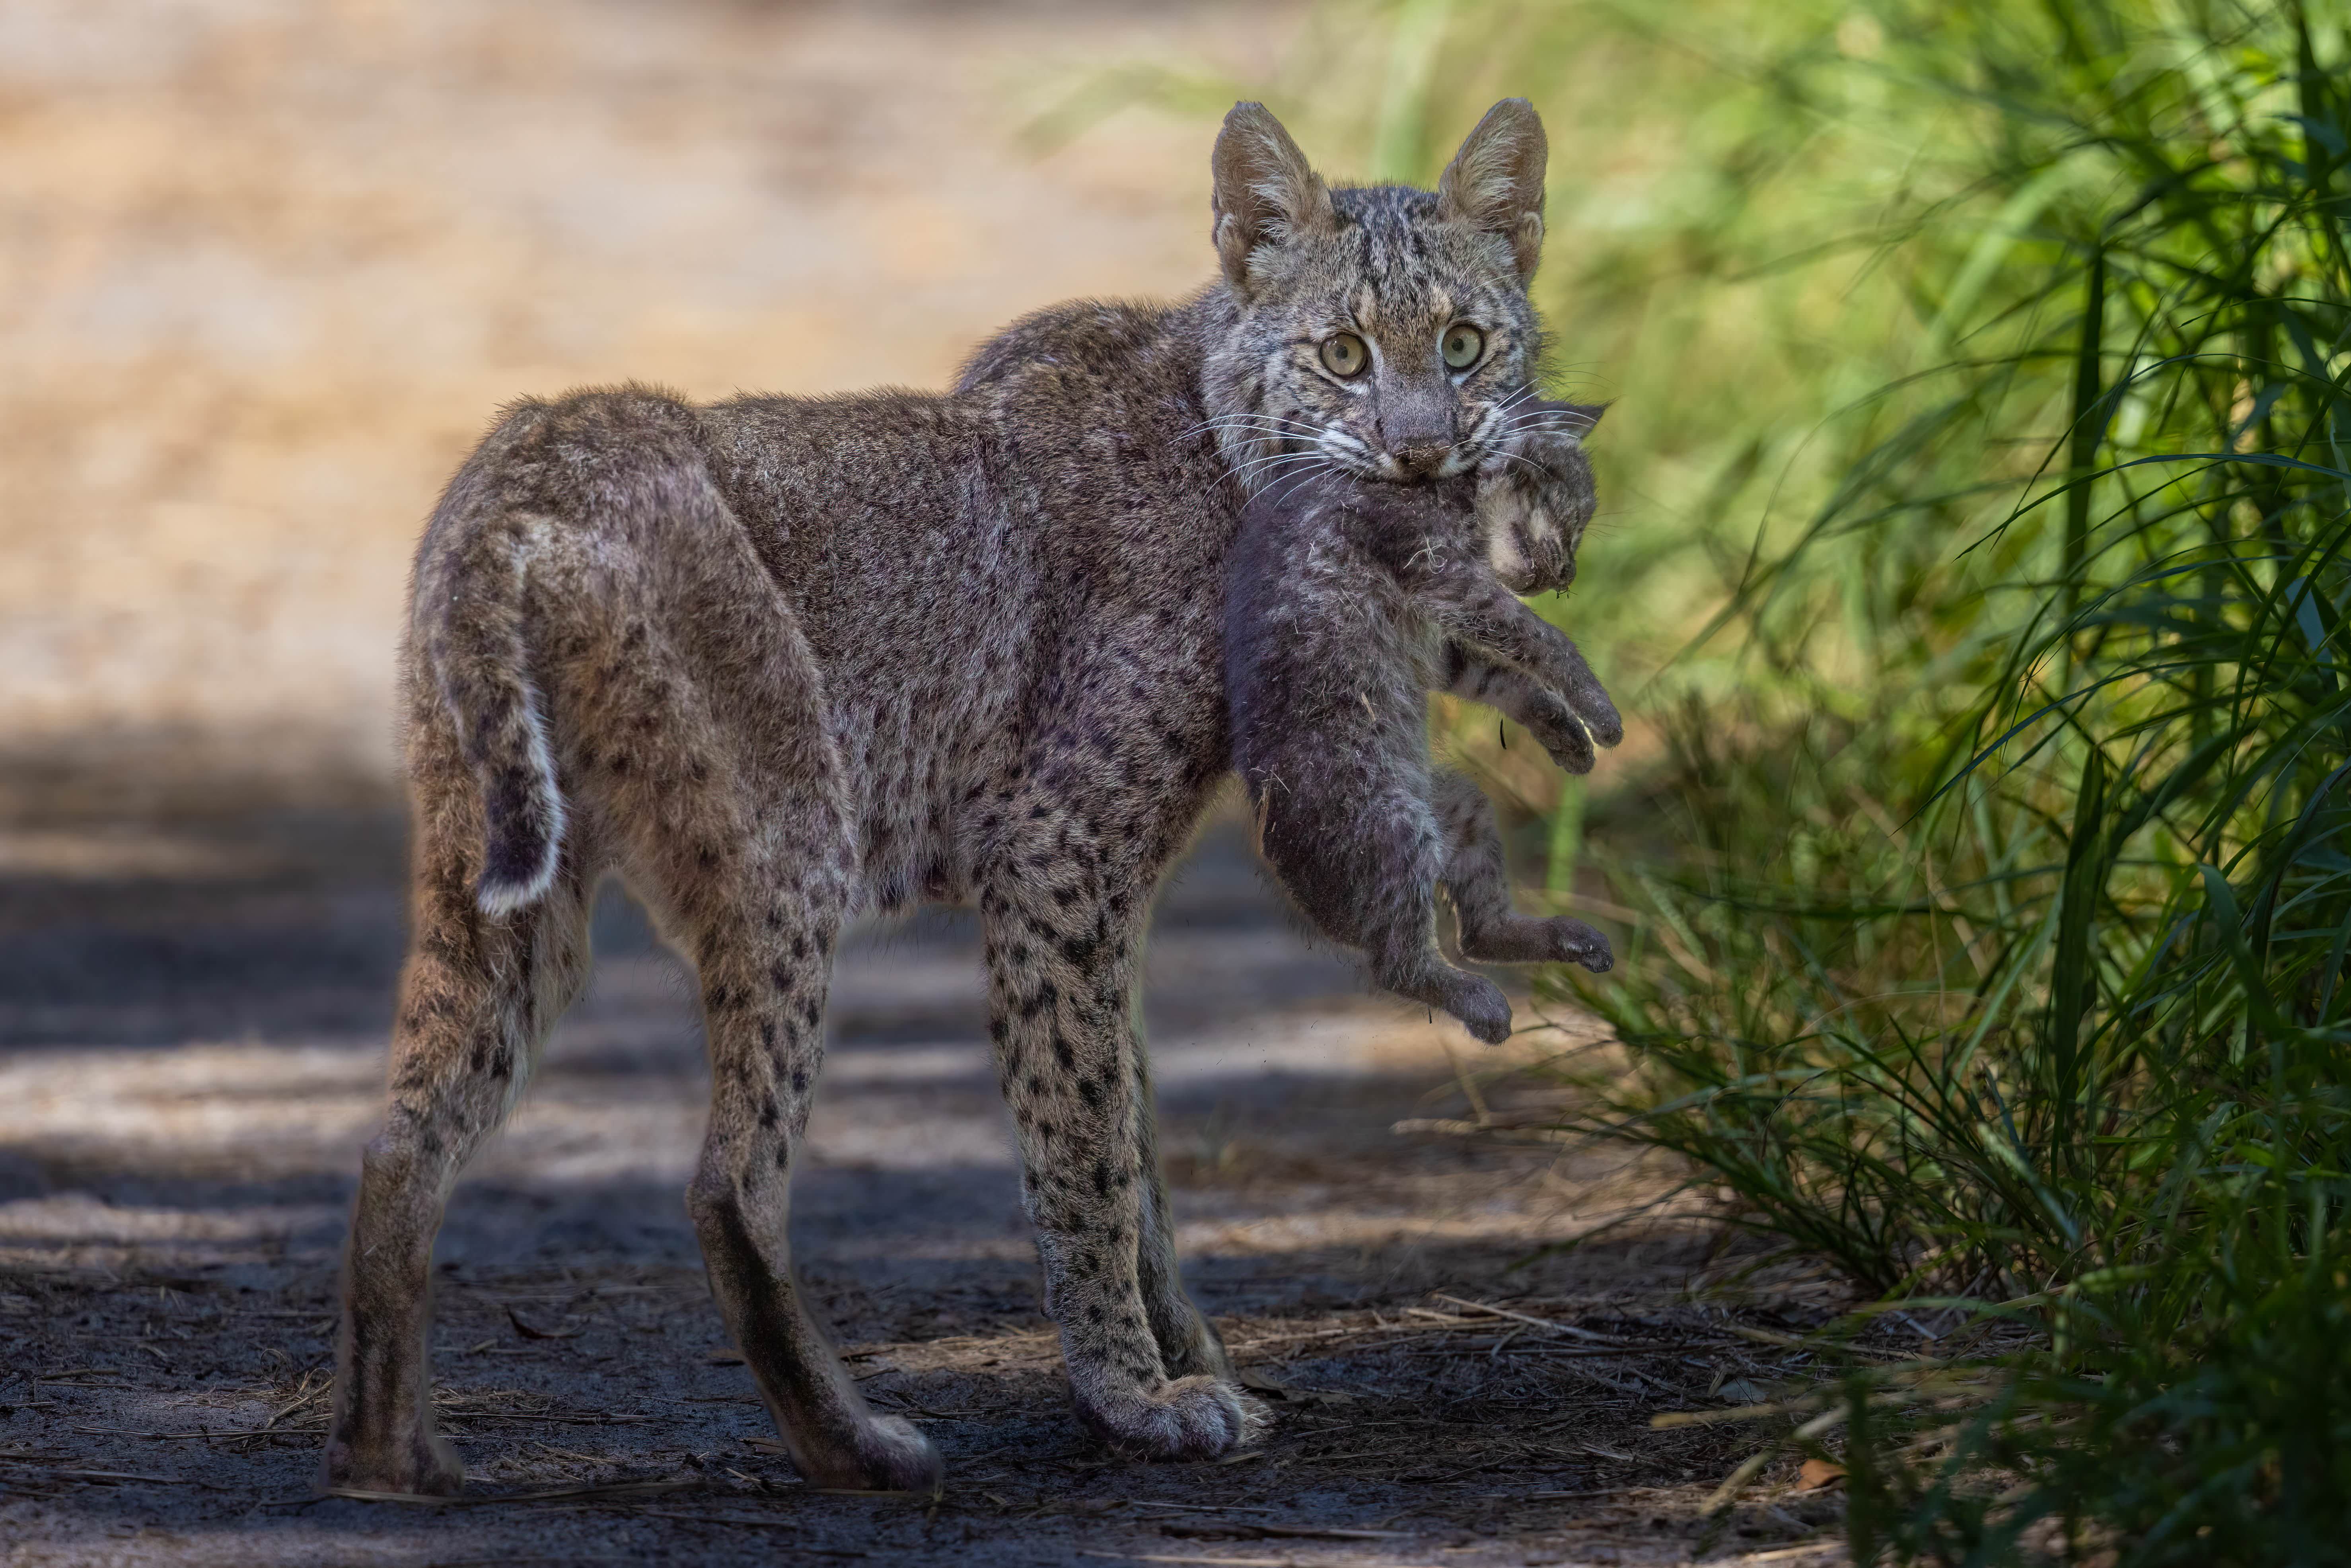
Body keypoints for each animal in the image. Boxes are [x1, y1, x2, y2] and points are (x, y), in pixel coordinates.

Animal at [1232, 411, 1617, 1044]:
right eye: (1574, 520)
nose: (1569, 573)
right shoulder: (1440, 573)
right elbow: (1544, 638)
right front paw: (1602, 713)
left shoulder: (1443, 643)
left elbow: (1505, 676)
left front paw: (1568, 736)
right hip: (1390, 826)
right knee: (1395, 964)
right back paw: (1481, 1005)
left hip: (1458, 803)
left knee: (1476, 932)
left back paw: (1564, 939)